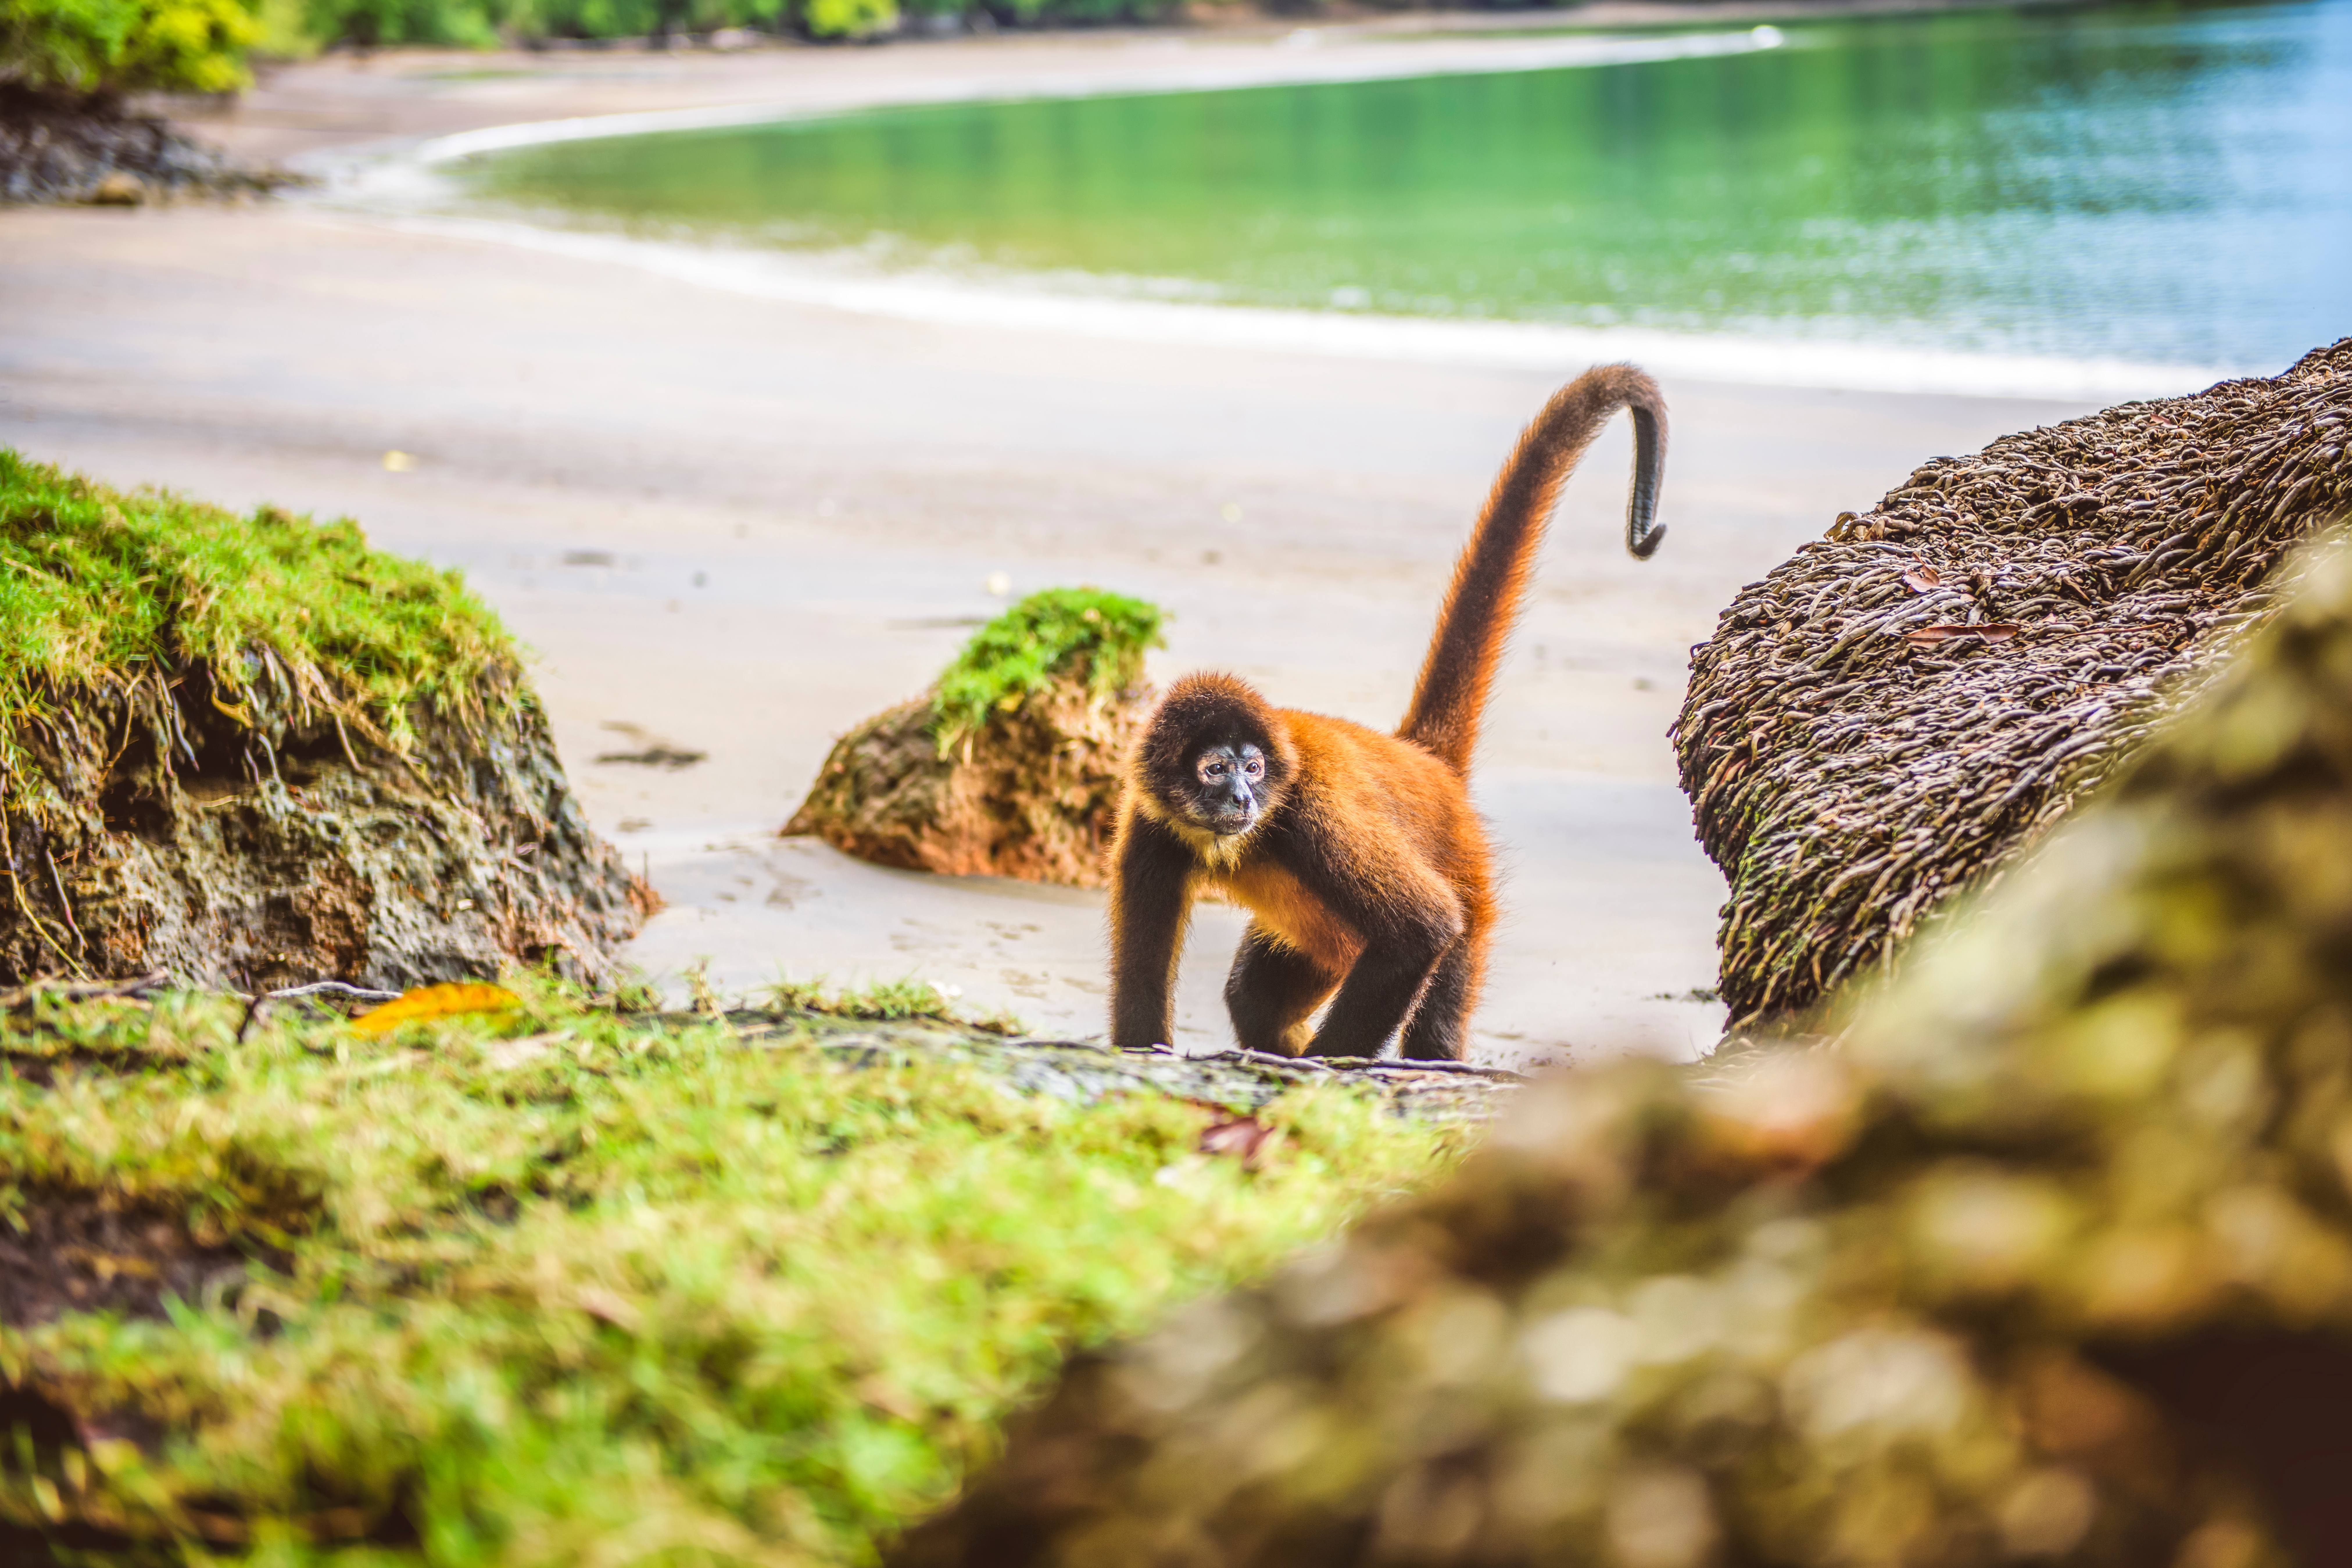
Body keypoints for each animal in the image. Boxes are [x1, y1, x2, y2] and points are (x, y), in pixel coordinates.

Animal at [1105, 364, 1667, 1061]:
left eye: (1252, 768)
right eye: (1215, 769)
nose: (1240, 797)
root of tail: (1421, 757)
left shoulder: (1313, 811)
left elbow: (1423, 929)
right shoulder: (1150, 824)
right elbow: (1140, 995)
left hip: (1465, 879)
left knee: (1436, 999)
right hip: (1328, 944)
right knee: (1255, 996)